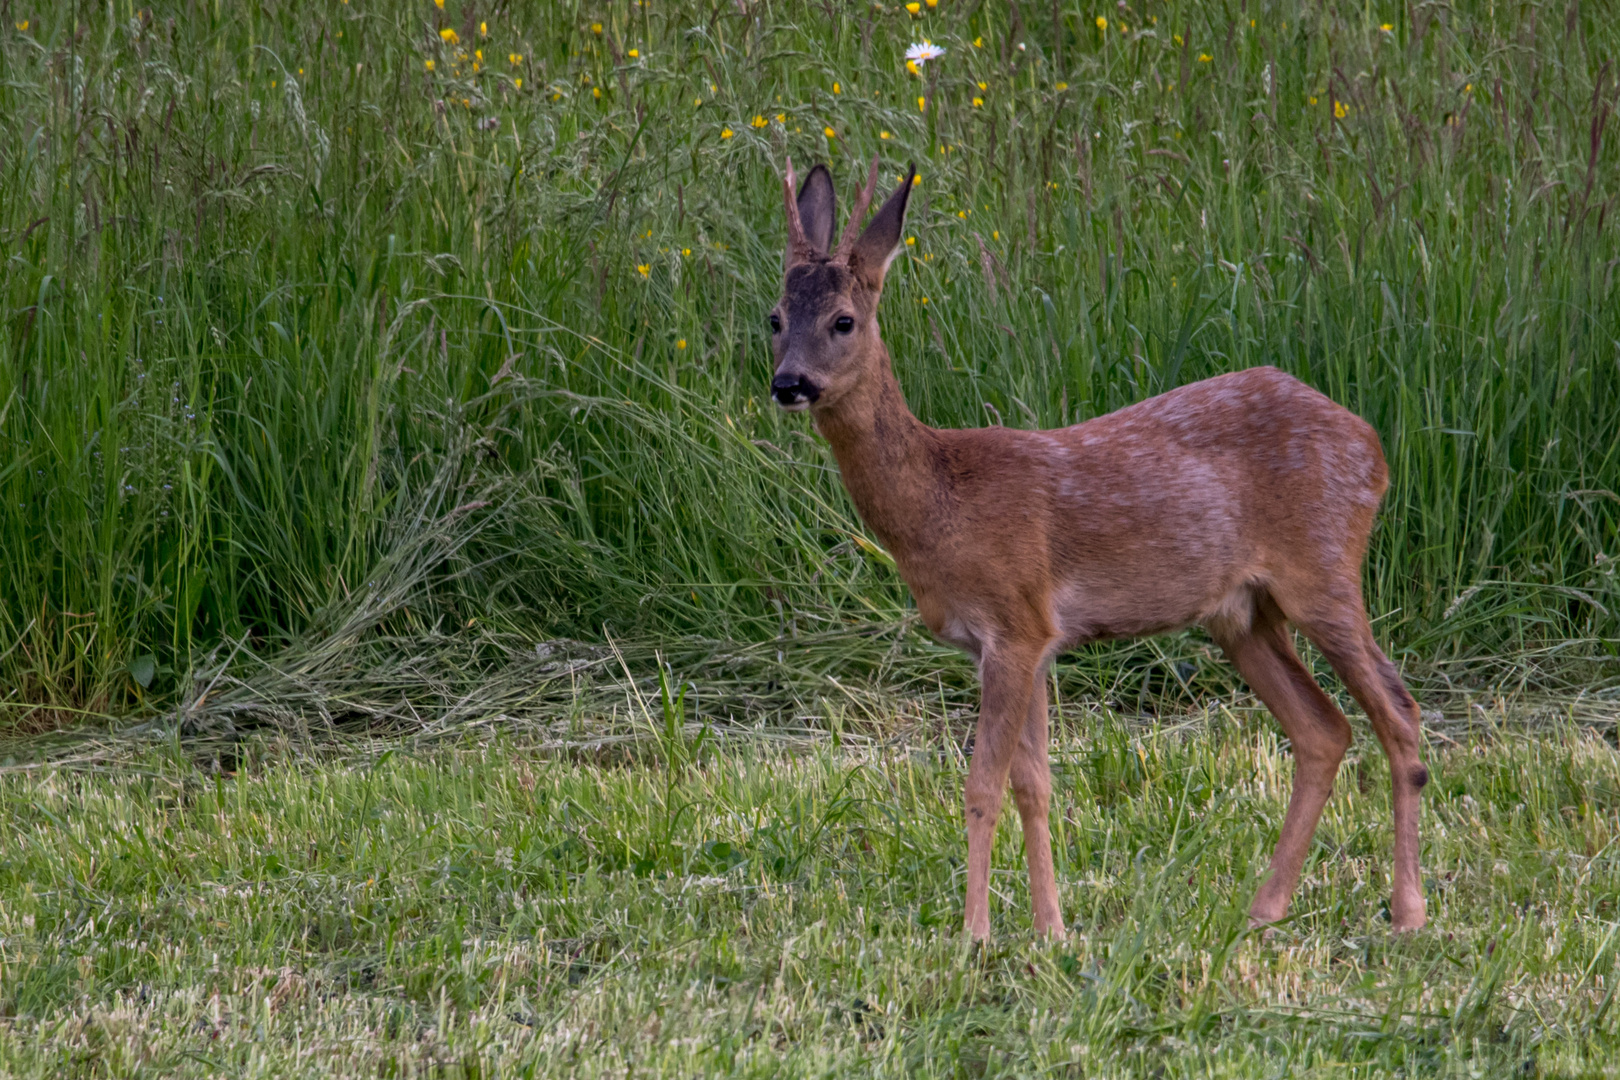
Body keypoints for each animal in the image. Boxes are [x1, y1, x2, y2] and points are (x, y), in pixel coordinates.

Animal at [771, 158, 1432, 939]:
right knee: (1324, 730)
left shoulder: (1015, 624)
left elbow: (982, 785)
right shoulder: (1025, 640)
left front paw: (974, 935)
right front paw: (1050, 929)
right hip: (1241, 614)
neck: (941, 502)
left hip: (1323, 569)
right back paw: (1263, 910)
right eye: (775, 318)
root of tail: (1373, 445)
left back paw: (1408, 911)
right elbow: (1034, 783)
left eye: (843, 320)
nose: (789, 383)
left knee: (1398, 711)